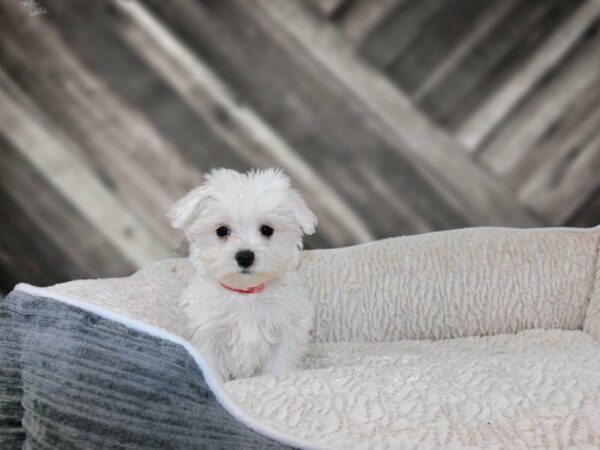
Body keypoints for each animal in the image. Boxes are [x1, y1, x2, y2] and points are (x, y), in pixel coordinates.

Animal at [168, 167, 316, 382]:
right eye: (222, 230)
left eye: (267, 230)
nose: (245, 256)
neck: (245, 292)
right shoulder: (209, 335)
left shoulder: (287, 333)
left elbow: (280, 367)